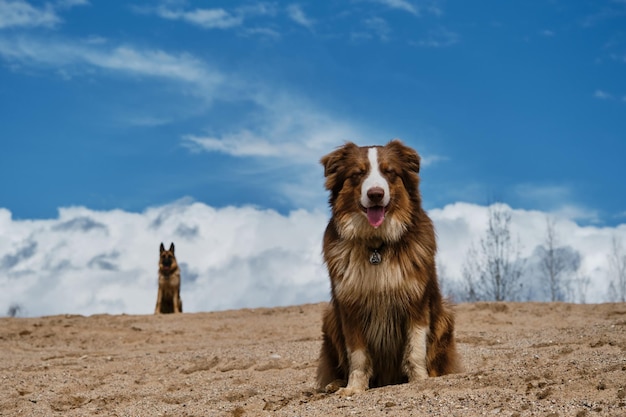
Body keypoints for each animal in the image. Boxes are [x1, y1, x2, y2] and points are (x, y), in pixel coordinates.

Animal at [316, 139, 458, 394]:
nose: (375, 194)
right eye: (358, 173)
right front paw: (354, 388)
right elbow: (358, 355)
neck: (376, 247)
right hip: (330, 318)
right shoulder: (349, 306)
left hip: (445, 316)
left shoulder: (416, 301)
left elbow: (415, 349)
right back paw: (334, 384)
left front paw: (420, 381)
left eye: (389, 172)